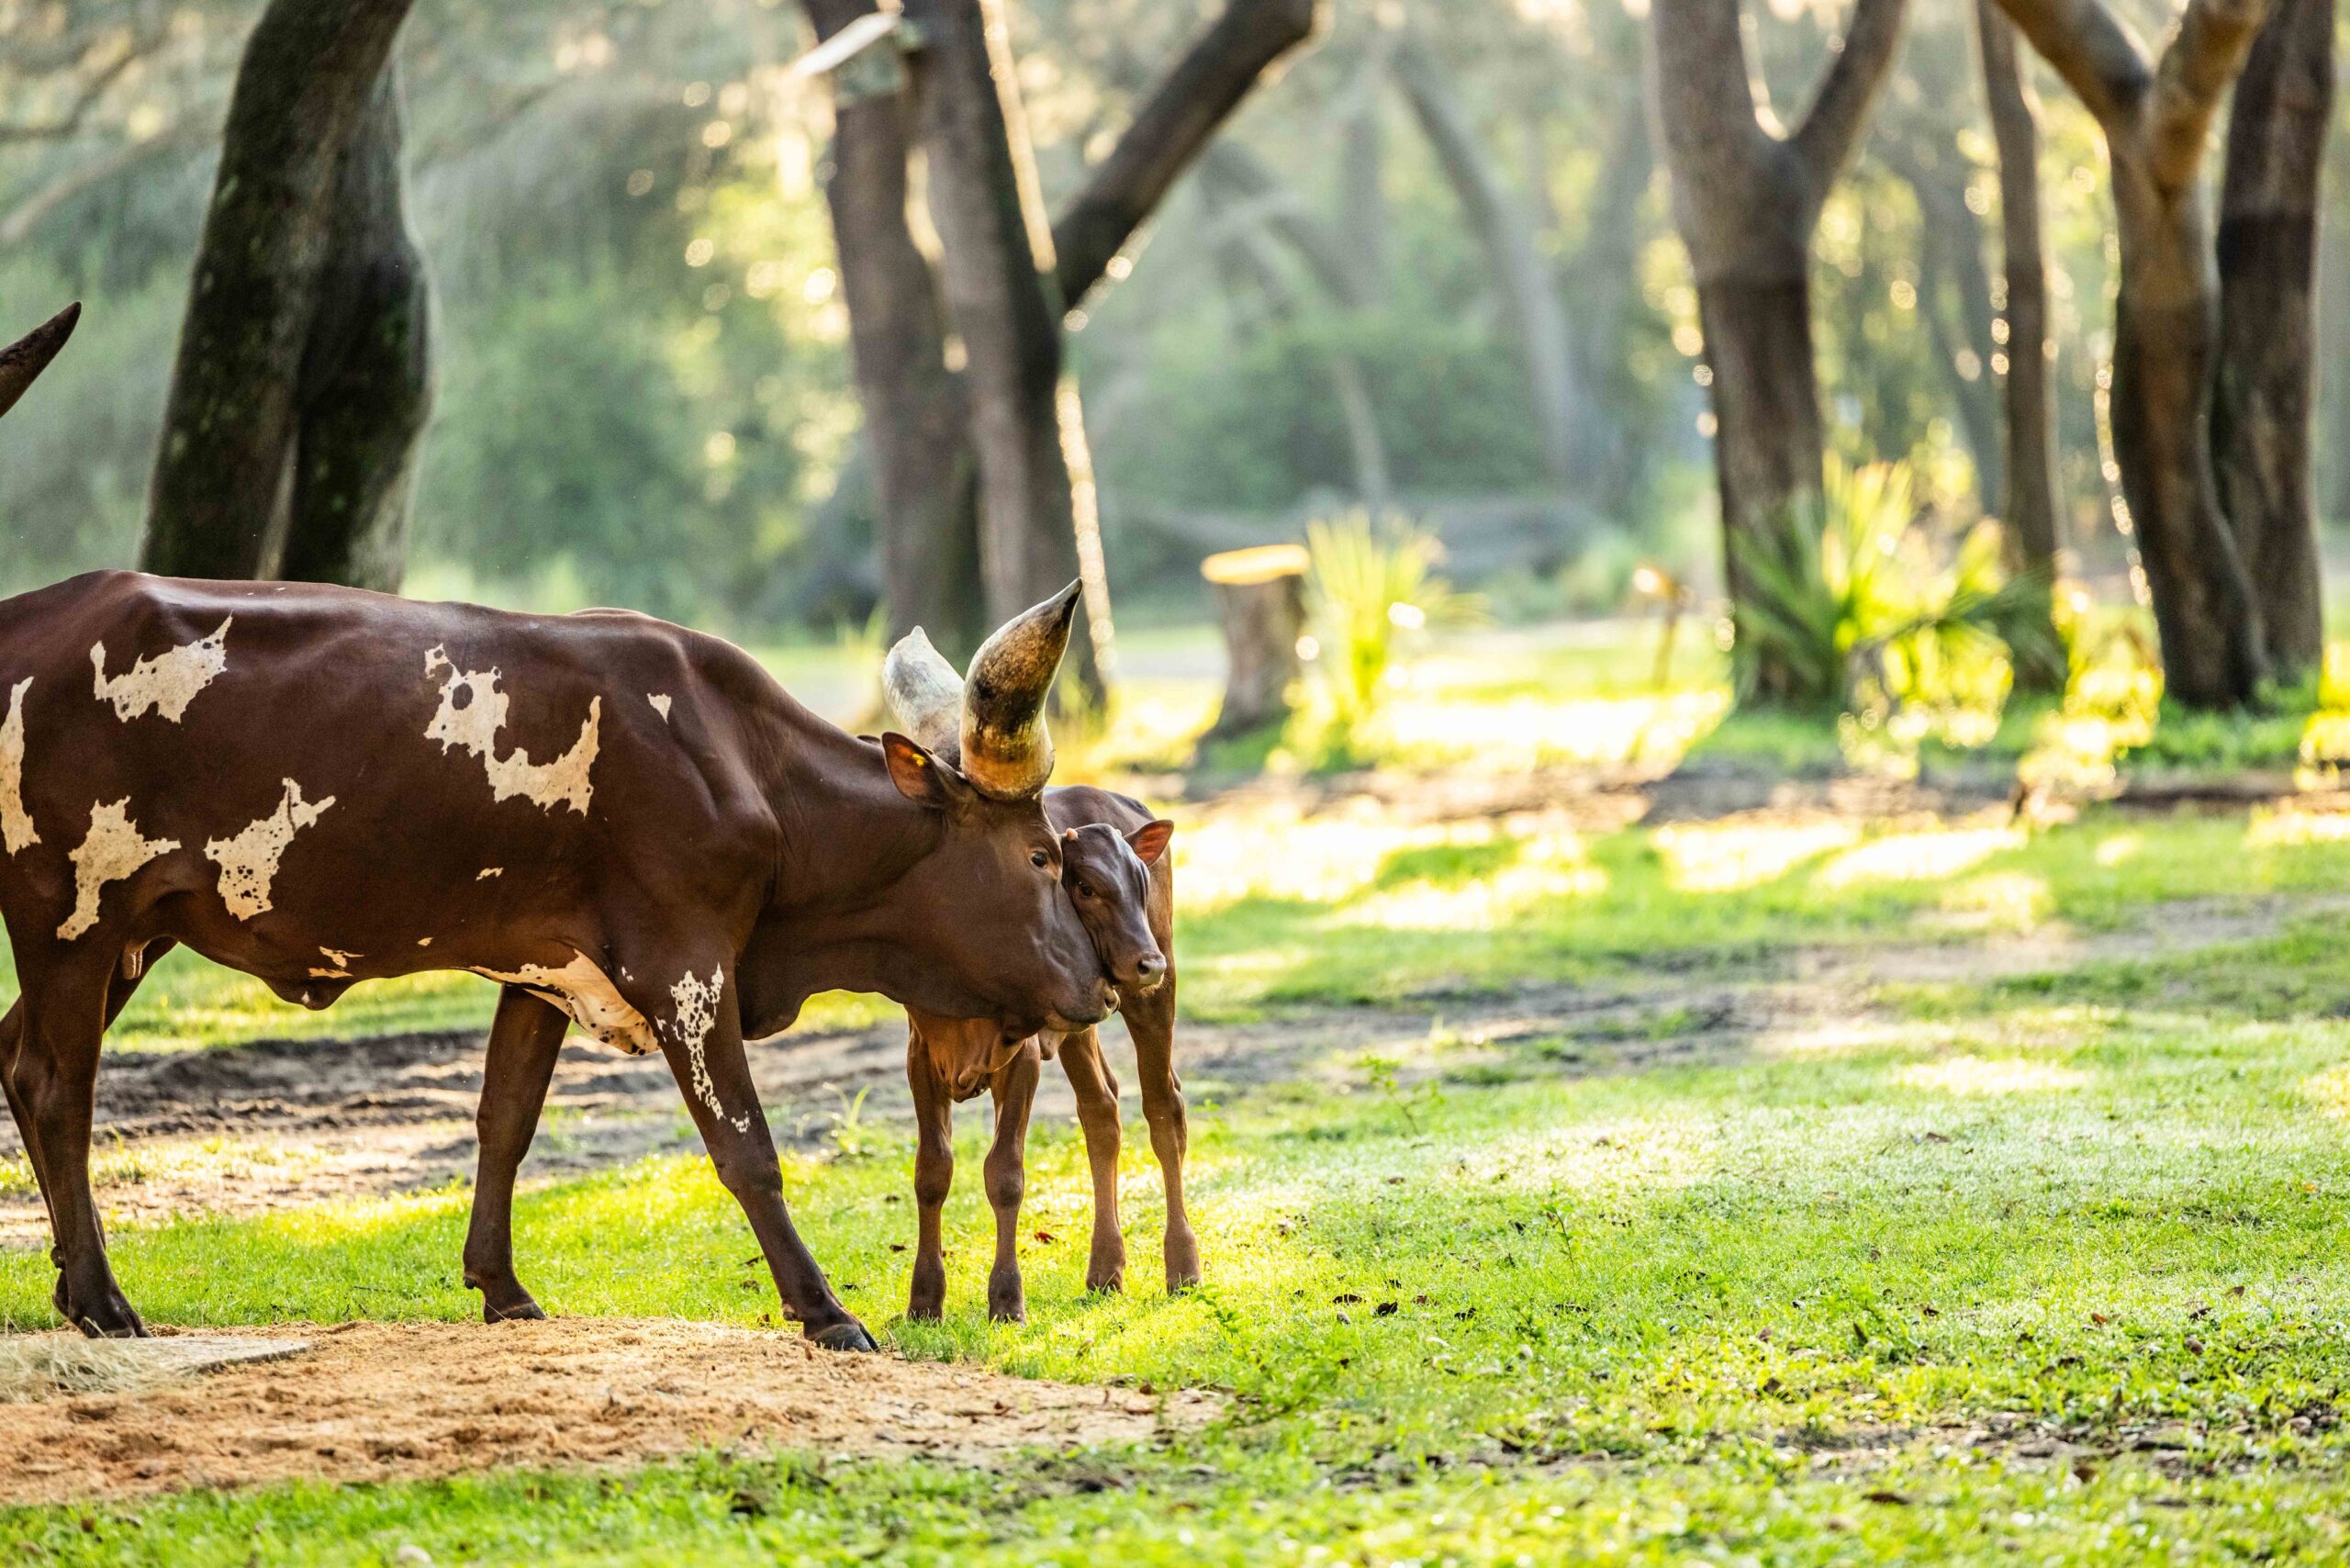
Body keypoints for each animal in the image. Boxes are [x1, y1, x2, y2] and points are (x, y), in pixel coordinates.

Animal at [0, 303, 1115, 1349]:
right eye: (1039, 854)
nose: (1102, 988)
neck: (743, 763)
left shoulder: (540, 968)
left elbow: (505, 1119)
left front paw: (501, 1284)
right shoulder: (689, 968)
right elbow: (745, 1147)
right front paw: (825, 1309)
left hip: (129, 932)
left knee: (21, 1062)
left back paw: (67, 1283)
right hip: (70, 914)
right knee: (53, 1085)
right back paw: (102, 1298)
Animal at [882, 631, 1194, 1321]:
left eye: (1138, 883)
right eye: (1082, 885)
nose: (1147, 962)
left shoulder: (1020, 1052)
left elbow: (1005, 1172)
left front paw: (1006, 1298)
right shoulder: (921, 1053)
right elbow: (931, 1171)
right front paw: (925, 1300)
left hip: (1150, 997)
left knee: (1164, 1108)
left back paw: (1182, 1264)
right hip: (1083, 1020)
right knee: (1102, 1111)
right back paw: (1105, 1268)